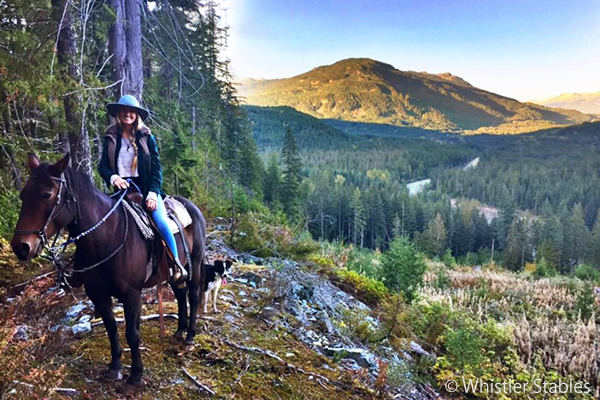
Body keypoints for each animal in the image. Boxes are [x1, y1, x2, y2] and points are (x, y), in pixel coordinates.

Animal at [10, 155, 207, 396]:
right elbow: (111, 327)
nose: (21, 247)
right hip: (173, 273)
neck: (106, 237)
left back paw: (189, 336)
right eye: (23, 195)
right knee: (180, 294)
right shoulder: (98, 294)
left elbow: (132, 334)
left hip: (195, 261)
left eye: (47, 194)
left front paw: (135, 377)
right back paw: (180, 330)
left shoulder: (132, 295)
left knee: (194, 295)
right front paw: (115, 368)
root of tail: (193, 207)